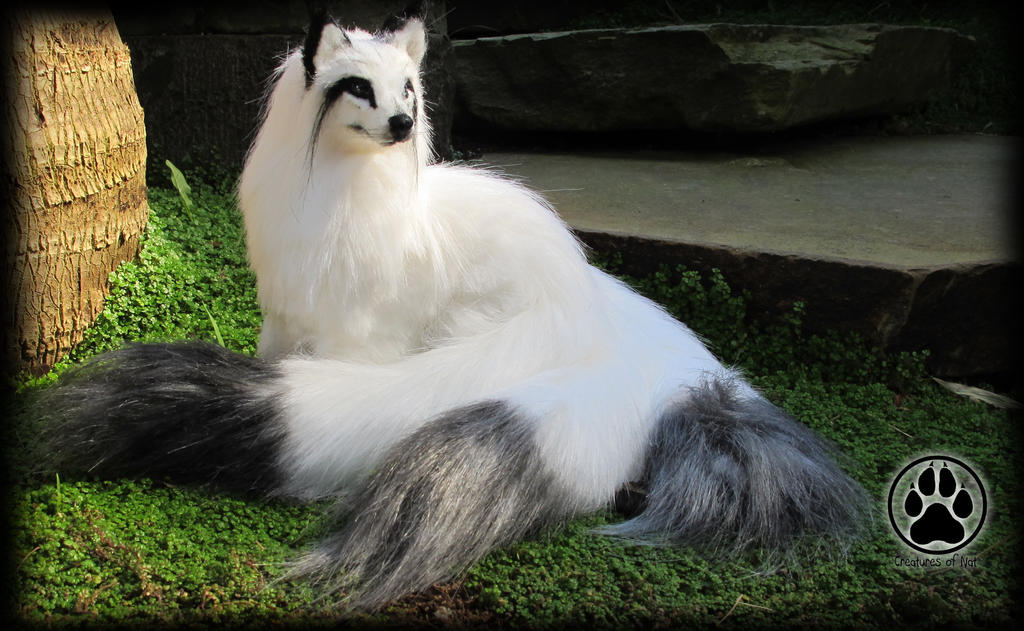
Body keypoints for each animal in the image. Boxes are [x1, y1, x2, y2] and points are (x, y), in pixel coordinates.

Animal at [38, 5, 867, 610]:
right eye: (358, 88)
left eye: (409, 90)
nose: (403, 124)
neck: (343, 195)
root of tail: (684, 376)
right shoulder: (283, 318)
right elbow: (273, 360)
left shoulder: (357, 335)